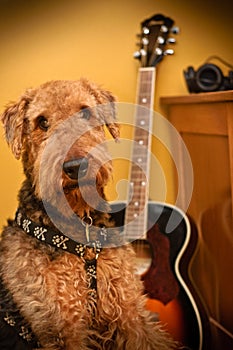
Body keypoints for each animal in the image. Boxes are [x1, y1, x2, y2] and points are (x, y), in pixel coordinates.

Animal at [0, 80, 177, 350]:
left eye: (84, 112)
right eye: (42, 122)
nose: (75, 167)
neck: (81, 224)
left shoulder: (129, 310)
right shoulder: (62, 328)